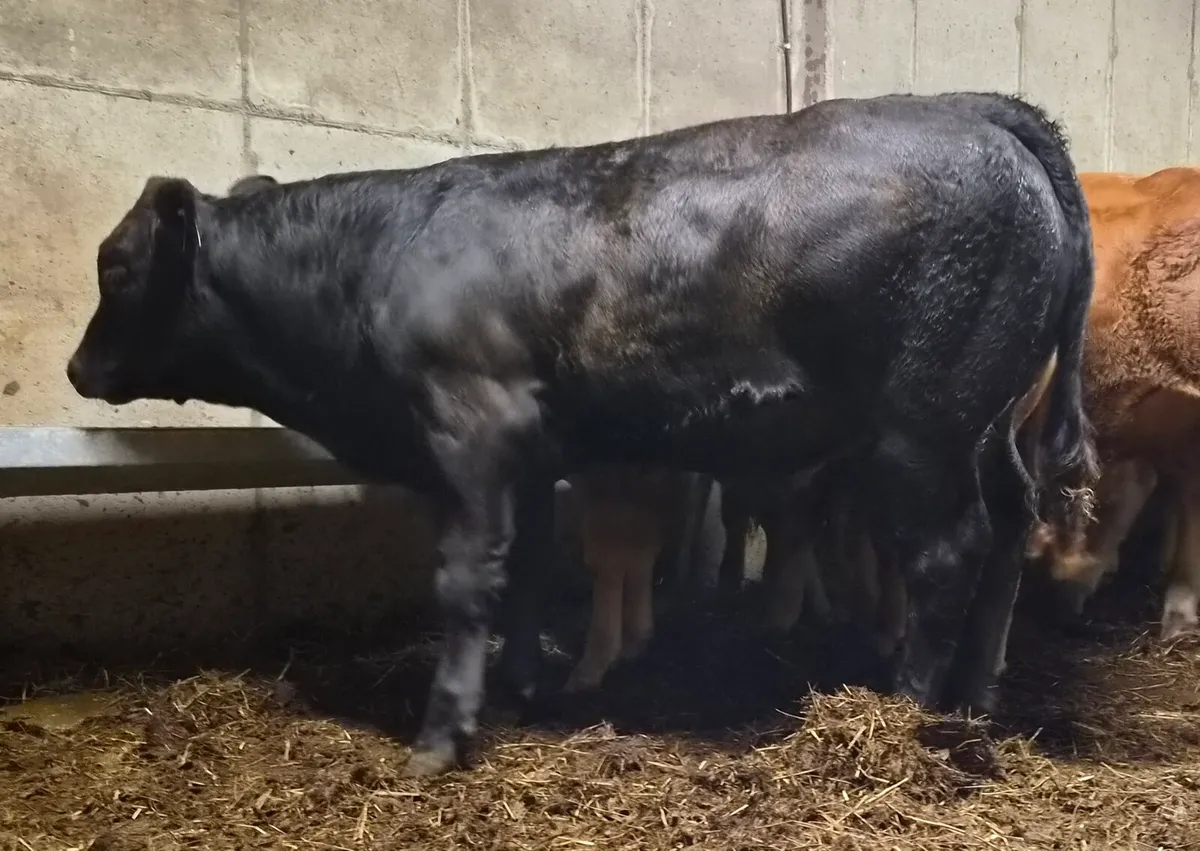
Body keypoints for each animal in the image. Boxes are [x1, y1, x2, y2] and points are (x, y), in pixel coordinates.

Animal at [65, 91, 1097, 778]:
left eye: (114, 265)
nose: (76, 368)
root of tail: (978, 110)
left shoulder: (472, 425)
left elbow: (466, 580)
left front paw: (440, 736)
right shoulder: (534, 451)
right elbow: (524, 569)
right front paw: (527, 684)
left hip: (925, 424)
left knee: (946, 550)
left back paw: (907, 701)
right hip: (991, 426)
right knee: (1010, 526)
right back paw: (977, 691)